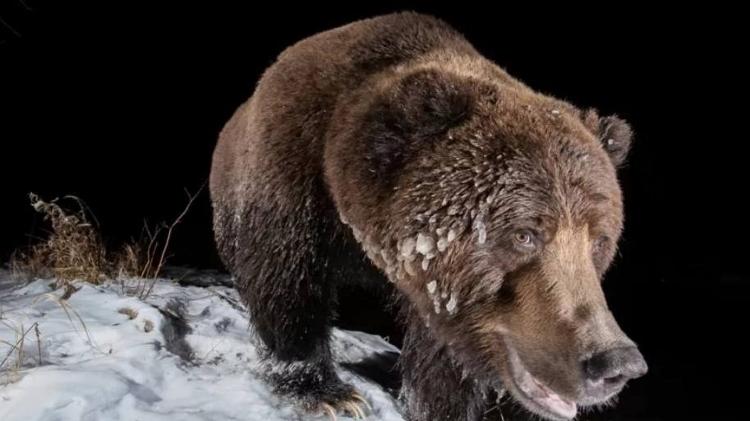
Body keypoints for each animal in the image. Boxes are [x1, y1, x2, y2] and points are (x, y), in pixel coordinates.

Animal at [209, 12, 647, 421]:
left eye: (599, 240)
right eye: (525, 234)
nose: (615, 363)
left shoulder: (439, 291)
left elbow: (440, 355)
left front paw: (433, 403)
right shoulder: (292, 173)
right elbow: (287, 279)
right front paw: (329, 394)